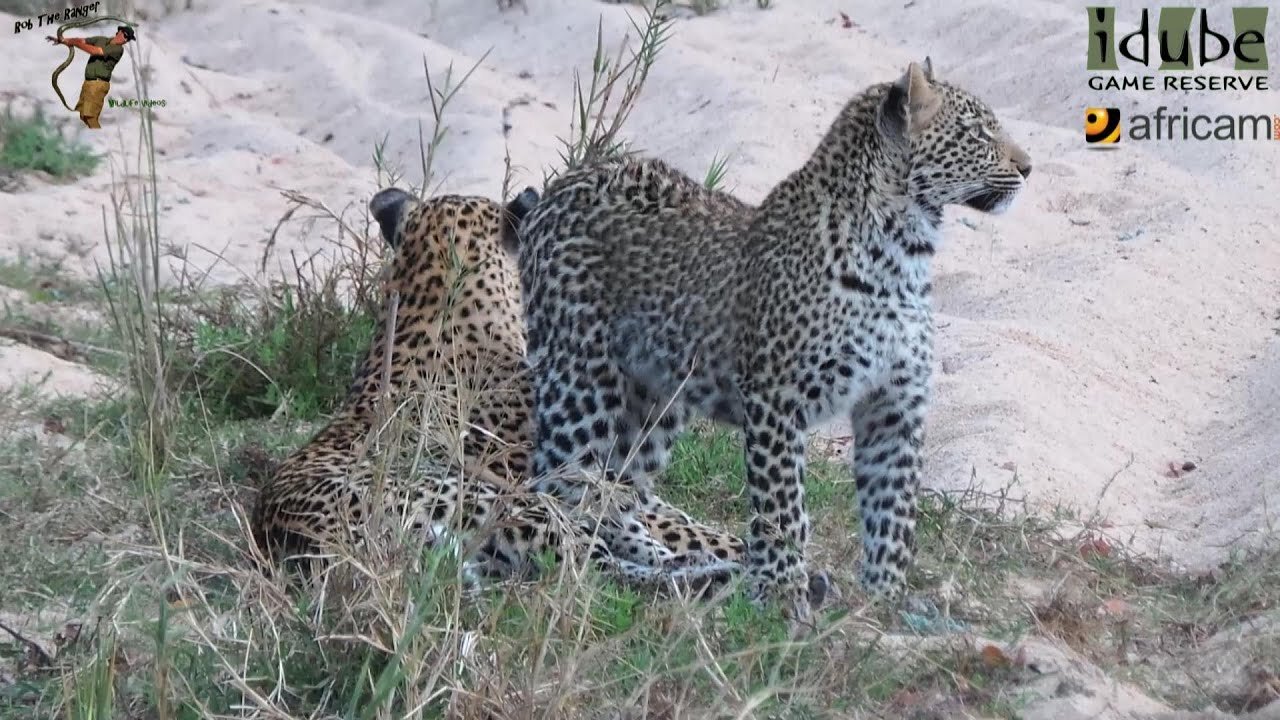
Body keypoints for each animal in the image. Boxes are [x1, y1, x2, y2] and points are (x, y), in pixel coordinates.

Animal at [514, 58, 1034, 617]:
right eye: (978, 133)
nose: (1029, 168)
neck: (904, 252)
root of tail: (567, 181)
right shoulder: (777, 399)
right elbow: (783, 506)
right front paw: (783, 597)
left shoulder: (894, 405)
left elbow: (892, 510)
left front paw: (884, 599)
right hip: (583, 384)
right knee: (559, 485)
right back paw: (602, 574)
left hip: (654, 401)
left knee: (616, 494)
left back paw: (676, 568)